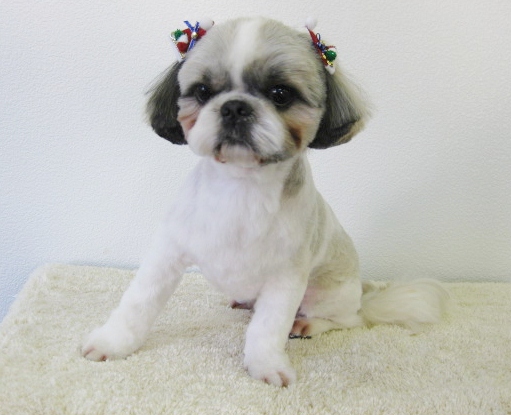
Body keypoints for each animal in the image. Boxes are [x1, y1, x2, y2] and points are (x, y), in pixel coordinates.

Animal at [82, 17, 449, 387]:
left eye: (280, 94)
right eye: (203, 91)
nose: (234, 107)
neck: (241, 187)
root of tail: (362, 295)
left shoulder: (286, 275)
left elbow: (269, 328)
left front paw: (266, 365)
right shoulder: (167, 253)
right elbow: (138, 302)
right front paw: (112, 343)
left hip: (328, 294)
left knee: (348, 320)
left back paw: (308, 323)